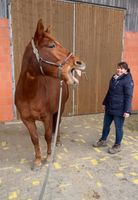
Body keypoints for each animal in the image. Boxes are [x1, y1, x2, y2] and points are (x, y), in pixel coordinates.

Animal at [15, 19, 86, 169]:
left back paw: (57, 141)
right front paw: (37, 160)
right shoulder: (27, 120)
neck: (29, 94)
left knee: (57, 124)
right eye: (51, 45)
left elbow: (47, 135)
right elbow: (35, 139)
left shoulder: (47, 116)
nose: (79, 63)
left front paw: (48, 157)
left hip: (61, 108)